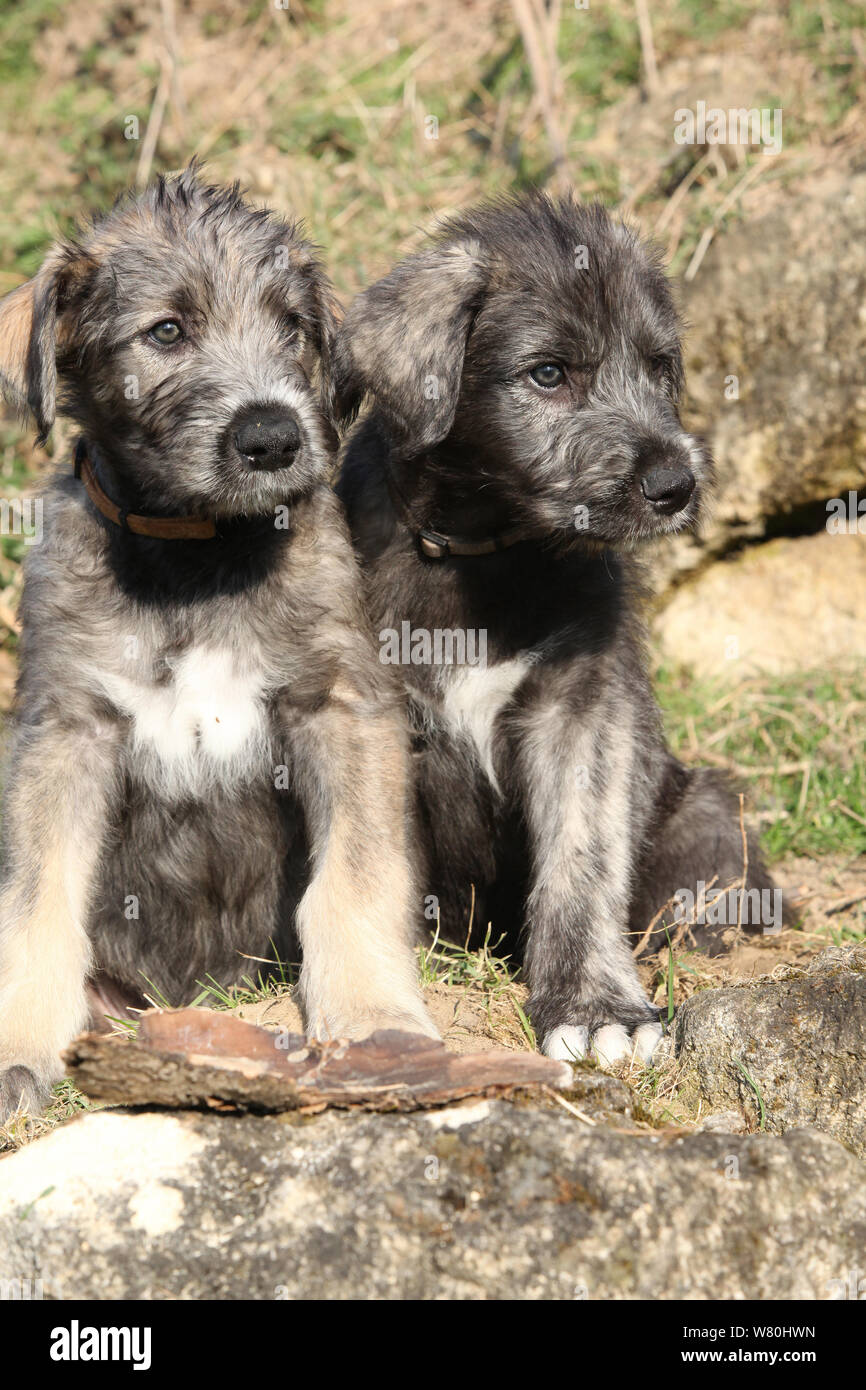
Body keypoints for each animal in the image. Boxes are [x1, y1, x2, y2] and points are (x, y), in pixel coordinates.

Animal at [0, 165, 433, 1117]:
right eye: (166, 331)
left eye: (292, 328)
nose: (272, 437)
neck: (196, 556)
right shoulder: (64, 727)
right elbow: (36, 897)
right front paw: (16, 1043)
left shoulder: (340, 704)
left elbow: (355, 877)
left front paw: (374, 1019)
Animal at [337, 190, 778, 1061]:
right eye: (549, 373)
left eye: (658, 366)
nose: (675, 486)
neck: (481, 551)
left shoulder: (585, 709)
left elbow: (584, 858)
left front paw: (594, 1004)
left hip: (707, 808)